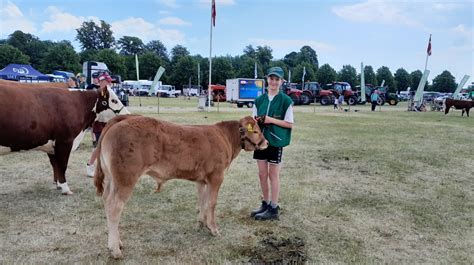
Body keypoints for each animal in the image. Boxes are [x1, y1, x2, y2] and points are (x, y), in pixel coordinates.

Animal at [0, 81, 130, 193]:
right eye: (114, 100)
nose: (127, 115)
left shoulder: (52, 144)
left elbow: (55, 165)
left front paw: (58, 185)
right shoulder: (64, 141)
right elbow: (62, 165)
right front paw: (65, 188)